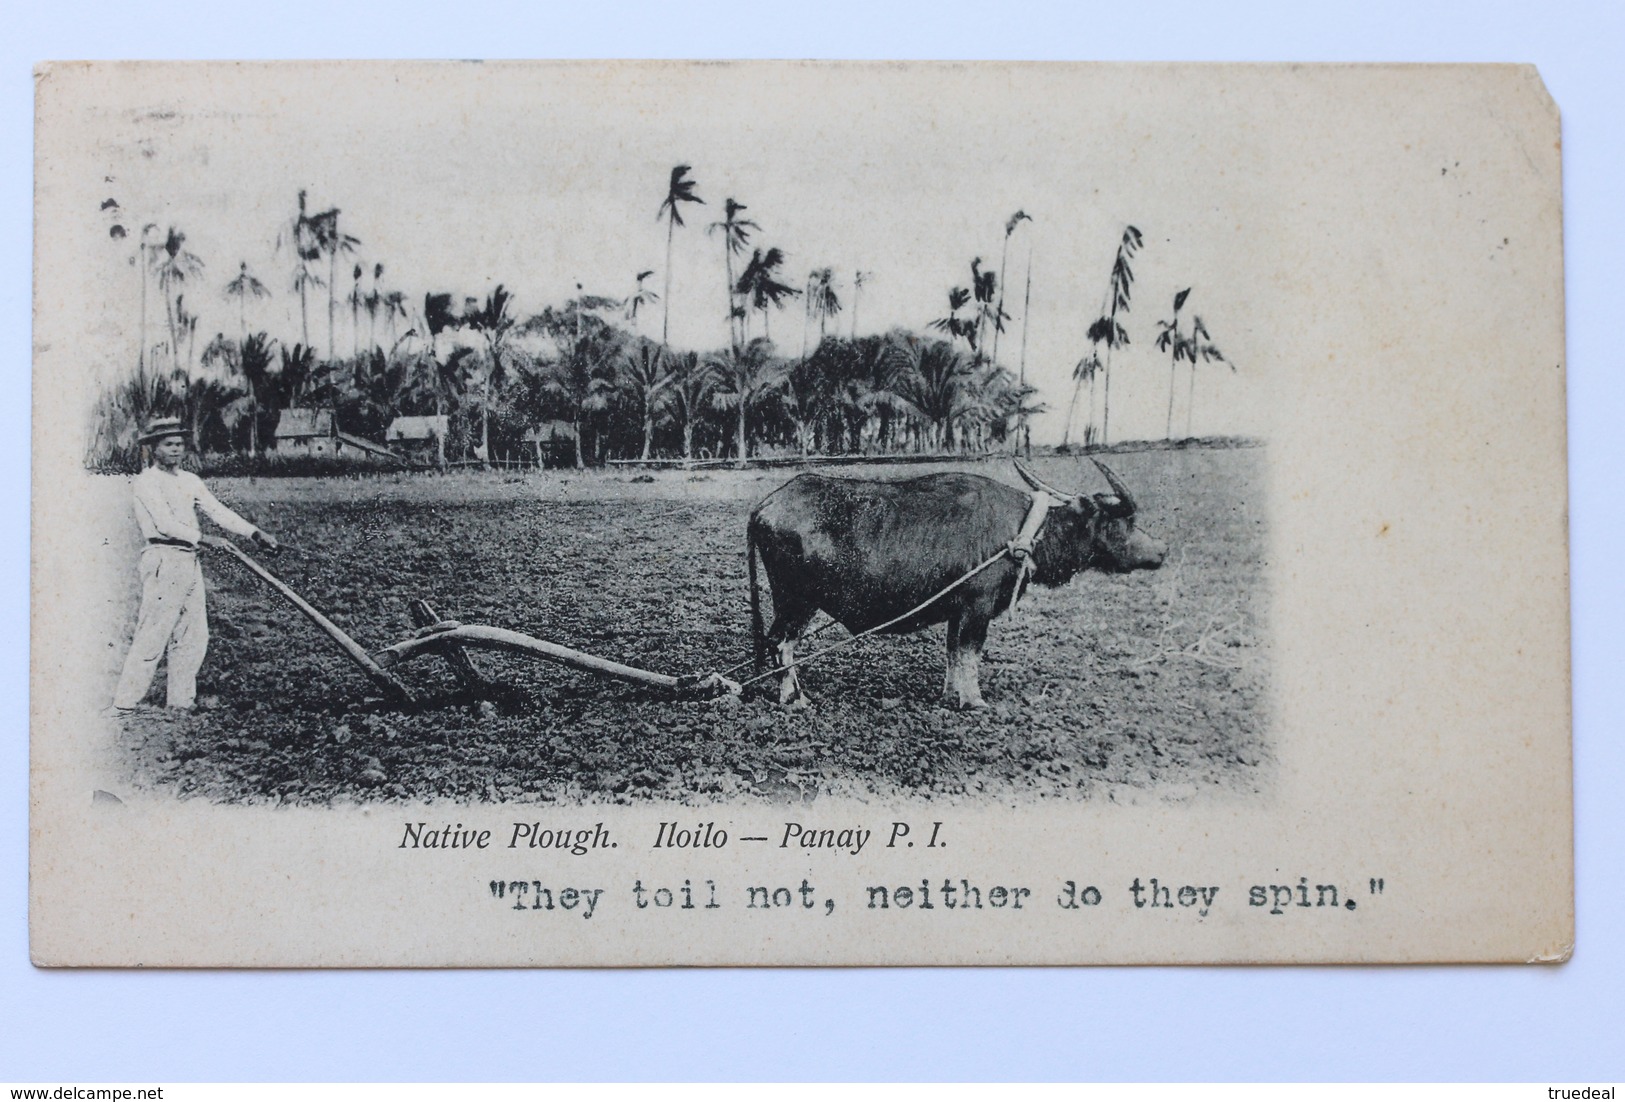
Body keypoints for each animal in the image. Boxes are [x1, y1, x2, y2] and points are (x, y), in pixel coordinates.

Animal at [747, 458, 1170, 711]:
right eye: (1125, 521)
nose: (1163, 550)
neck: (1022, 533)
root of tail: (766, 504)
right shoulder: (977, 607)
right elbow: (969, 653)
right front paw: (974, 701)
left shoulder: (958, 611)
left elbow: (954, 653)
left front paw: (952, 695)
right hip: (796, 600)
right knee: (781, 642)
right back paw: (794, 698)